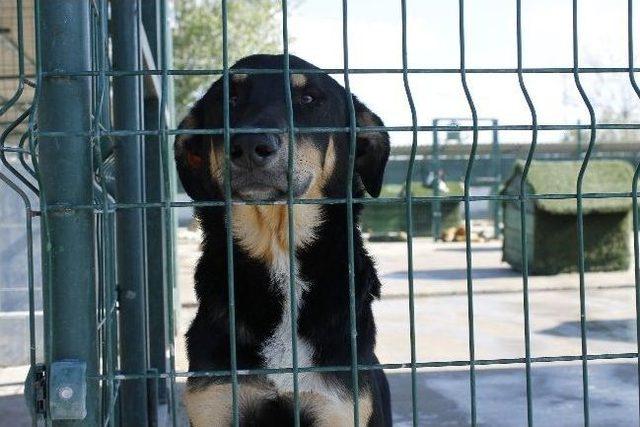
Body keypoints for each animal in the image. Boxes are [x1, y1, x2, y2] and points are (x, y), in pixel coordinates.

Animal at [175, 54, 392, 427]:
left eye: (308, 99)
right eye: (230, 99)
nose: (250, 146)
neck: (278, 253)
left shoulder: (336, 404)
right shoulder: (215, 401)